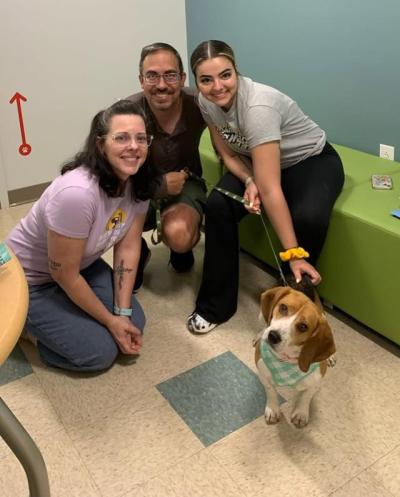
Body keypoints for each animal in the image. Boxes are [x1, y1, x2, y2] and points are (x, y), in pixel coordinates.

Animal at [255, 284, 336, 428]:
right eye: (283, 307)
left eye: (303, 326)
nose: (273, 336)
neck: (286, 360)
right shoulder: (262, 373)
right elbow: (271, 391)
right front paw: (273, 409)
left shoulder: (316, 381)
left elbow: (306, 397)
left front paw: (300, 413)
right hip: (261, 316)